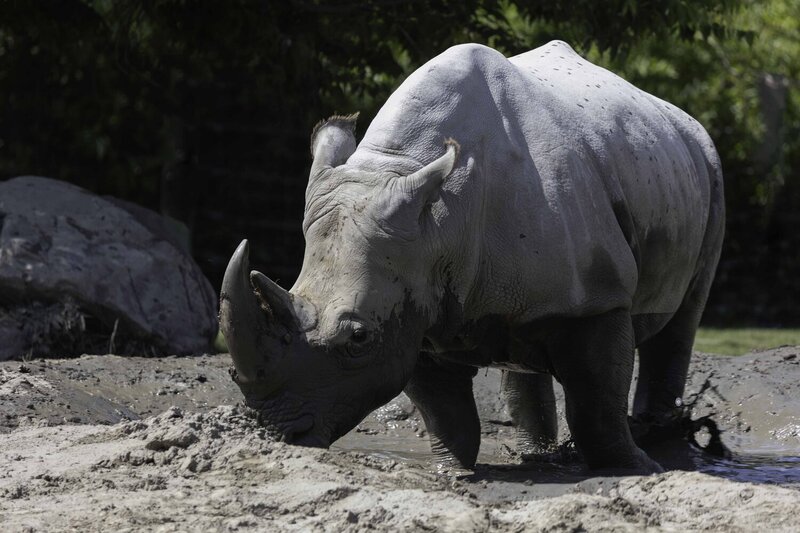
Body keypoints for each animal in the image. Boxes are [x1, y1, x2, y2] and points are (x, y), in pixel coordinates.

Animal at [220, 41, 724, 473]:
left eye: (357, 338)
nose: (279, 434)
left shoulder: (599, 298)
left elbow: (598, 397)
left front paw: (638, 468)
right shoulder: (413, 302)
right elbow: (443, 408)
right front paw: (451, 470)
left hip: (706, 162)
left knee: (682, 319)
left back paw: (663, 442)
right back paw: (536, 456)